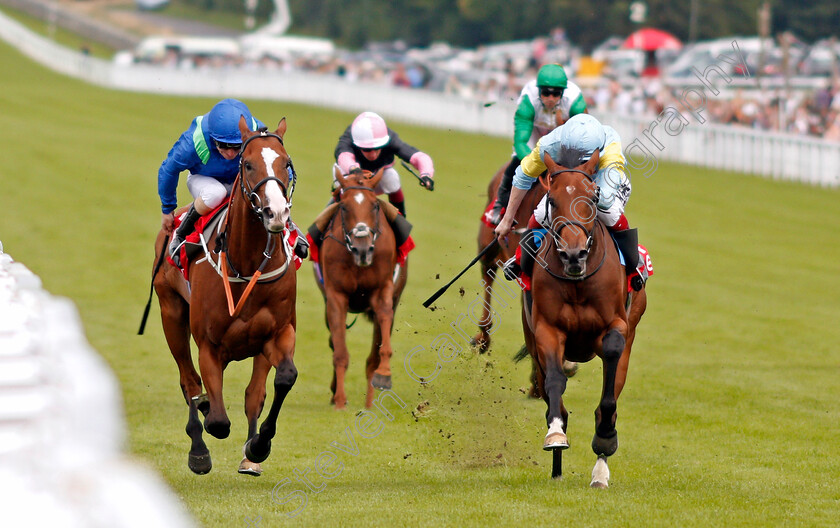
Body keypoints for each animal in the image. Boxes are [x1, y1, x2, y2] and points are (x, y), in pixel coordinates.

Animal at [154, 117, 298, 476]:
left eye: (286, 164)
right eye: (248, 165)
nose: (276, 213)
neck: (246, 265)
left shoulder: (277, 333)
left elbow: (280, 381)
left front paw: (258, 446)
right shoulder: (209, 345)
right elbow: (217, 420)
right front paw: (208, 428)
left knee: (251, 392)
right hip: (170, 312)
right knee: (189, 381)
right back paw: (198, 447)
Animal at [316, 168, 406, 408]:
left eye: (374, 206)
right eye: (344, 206)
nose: (363, 249)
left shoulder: (383, 293)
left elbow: (379, 350)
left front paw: (383, 376)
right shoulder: (336, 297)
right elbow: (340, 352)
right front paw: (339, 400)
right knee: (333, 341)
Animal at [528, 148, 648, 486]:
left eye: (593, 198)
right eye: (552, 199)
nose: (573, 254)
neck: (577, 283)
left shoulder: (617, 325)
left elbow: (608, 393)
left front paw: (605, 438)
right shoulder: (546, 330)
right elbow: (555, 382)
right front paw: (555, 435)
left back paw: (600, 471)